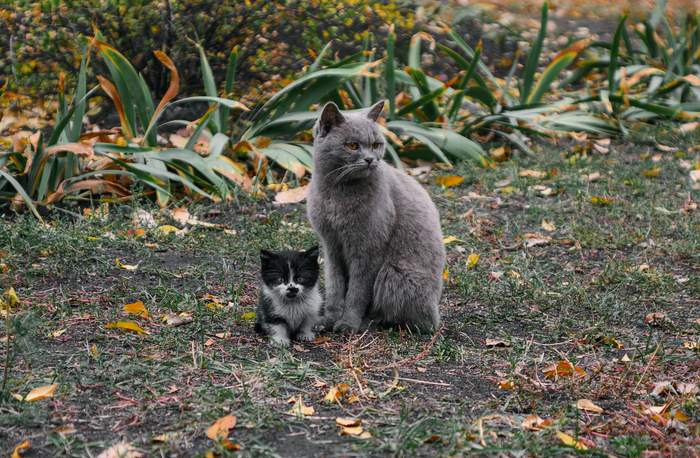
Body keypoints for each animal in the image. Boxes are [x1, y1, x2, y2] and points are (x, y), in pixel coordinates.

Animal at [306, 100, 445, 334]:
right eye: (353, 145)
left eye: (375, 145)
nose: (370, 159)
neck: (337, 192)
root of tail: (435, 313)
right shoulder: (331, 244)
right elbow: (335, 286)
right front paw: (329, 318)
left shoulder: (368, 248)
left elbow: (358, 291)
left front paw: (348, 323)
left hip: (393, 273)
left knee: (406, 319)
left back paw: (367, 323)